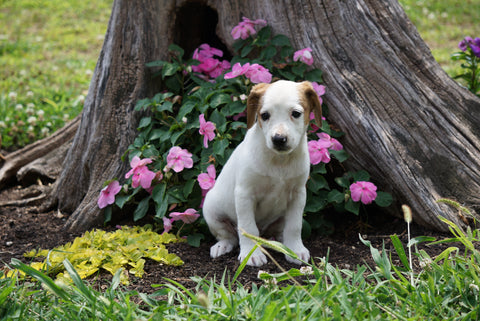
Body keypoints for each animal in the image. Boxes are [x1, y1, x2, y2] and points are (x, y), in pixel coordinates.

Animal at [202, 79, 322, 264]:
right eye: (265, 115)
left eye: (295, 113)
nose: (279, 139)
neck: (279, 161)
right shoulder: (245, 194)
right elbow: (248, 228)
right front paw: (252, 254)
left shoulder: (298, 195)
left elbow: (294, 226)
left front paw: (295, 250)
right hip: (212, 210)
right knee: (230, 236)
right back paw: (222, 246)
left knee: (279, 232)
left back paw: (281, 243)